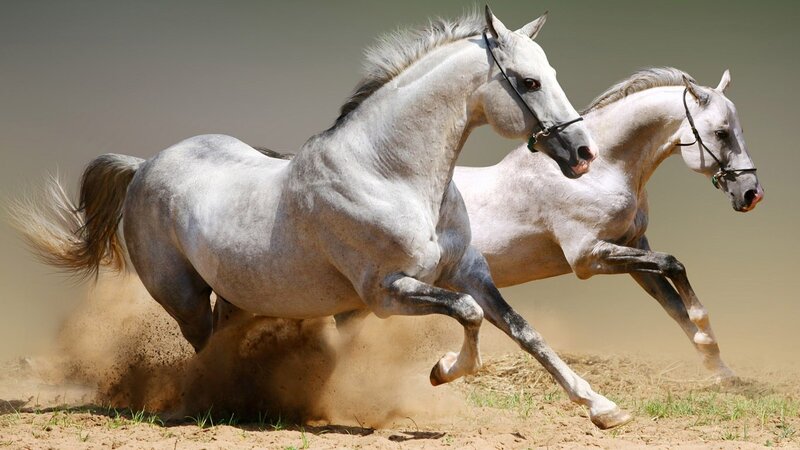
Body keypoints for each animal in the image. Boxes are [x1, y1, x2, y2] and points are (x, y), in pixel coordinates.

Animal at [11, 9, 638, 429]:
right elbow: (468, 317)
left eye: (550, 72)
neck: (389, 173)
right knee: (204, 347)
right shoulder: (386, 293)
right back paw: (212, 402)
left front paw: (604, 409)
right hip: (182, 296)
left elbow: (523, 331)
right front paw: (441, 370)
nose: (583, 153)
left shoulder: (468, 273)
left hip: (238, 295)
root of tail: (144, 165)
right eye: (529, 82)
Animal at [453, 68, 762, 383]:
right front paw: (705, 332)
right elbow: (673, 264)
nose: (752, 194)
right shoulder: (587, 257)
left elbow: (674, 304)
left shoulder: (633, 247)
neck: (599, 173)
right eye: (721, 133)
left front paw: (721, 370)